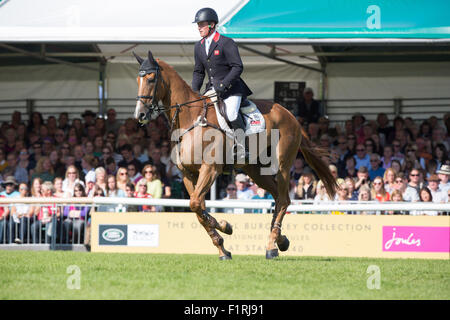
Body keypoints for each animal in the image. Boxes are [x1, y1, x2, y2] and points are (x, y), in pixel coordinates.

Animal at [132, 50, 336, 260]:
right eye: (138, 79)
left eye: (151, 78)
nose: (140, 115)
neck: (191, 120)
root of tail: (290, 114)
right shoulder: (188, 174)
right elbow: (198, 208)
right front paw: (223, 246)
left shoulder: (210, 169)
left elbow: (196, 204)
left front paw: (224, 226)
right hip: (257, 171)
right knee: (278, 198)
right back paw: (280, 241)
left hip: (283, 166)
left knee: (284, 199)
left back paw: (272, 246)